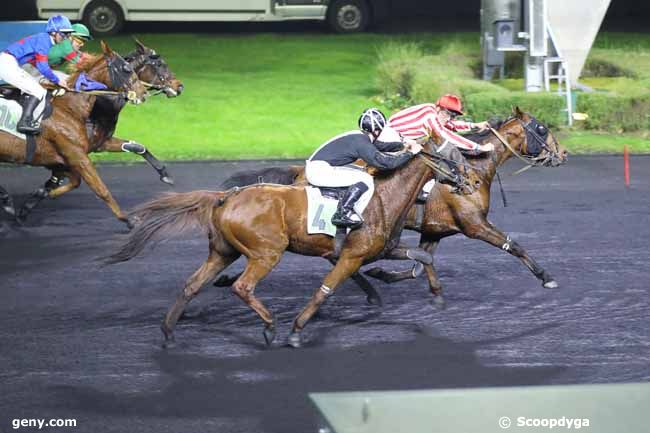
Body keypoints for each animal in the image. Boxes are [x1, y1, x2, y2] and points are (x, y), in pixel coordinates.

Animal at [13, 39, 185, 221]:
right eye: (159, 64)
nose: (179, 86)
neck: (98, 106)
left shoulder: (99, 143)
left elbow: (137, 147)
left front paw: (165, 174)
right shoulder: (73, 151)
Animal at [107, 138, 440, 348]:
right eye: (448, 156)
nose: (459, 179)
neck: (382, 197)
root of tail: (225, 197)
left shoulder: (380, 249)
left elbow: (423, 257)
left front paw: (427, 290)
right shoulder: (351, 255)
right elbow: (325, 290)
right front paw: (296, 332)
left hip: (223, 252)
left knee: (192, 284)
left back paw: (168, 333)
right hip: (267, 253)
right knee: (243, 287)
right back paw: (268, 326)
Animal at [214, 106, 568, 306]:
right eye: (541, 128)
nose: (563, 154)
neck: (473, 170)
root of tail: (300, 173)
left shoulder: (434, 230)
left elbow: (418, 265)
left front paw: (385, 273)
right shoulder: (474, 225)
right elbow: (513, 245)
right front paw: (546, 276)